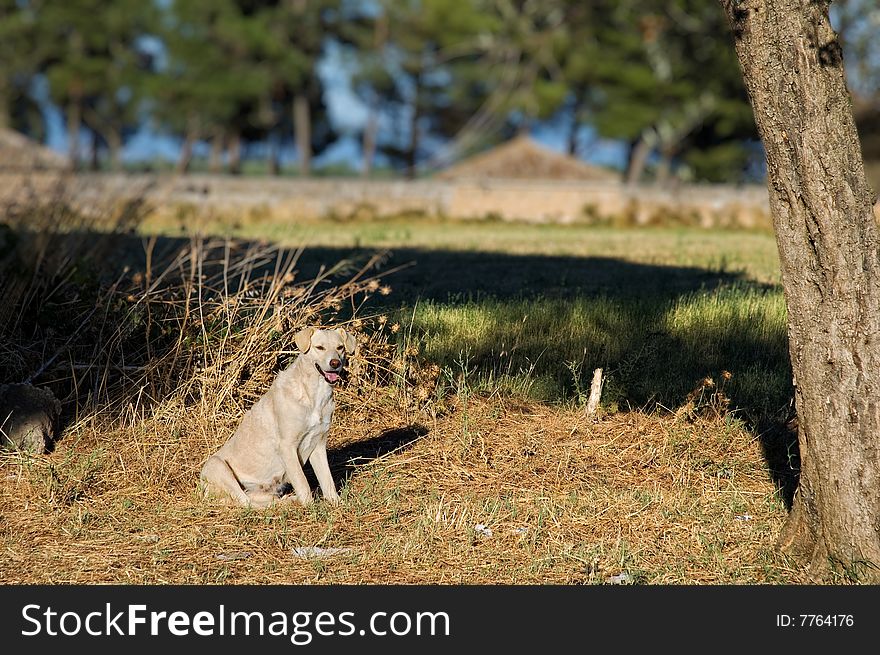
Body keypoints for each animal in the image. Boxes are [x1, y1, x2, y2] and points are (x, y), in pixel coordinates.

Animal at [202, 326, 358, 508]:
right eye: (320, 348)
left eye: (340, 347)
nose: (335, 363)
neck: (313, 393)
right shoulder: (287, 446)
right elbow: (302, 482)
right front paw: (310, 507)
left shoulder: (318, 444)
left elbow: (327, 480)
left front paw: (337, 503)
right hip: (217, 465)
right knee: (247, 503)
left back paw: (288, 500)